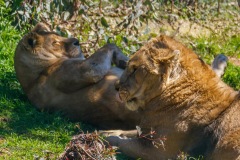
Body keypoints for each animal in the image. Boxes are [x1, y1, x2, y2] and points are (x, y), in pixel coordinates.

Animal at [13, 22, 141, 129]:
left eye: (58, 35)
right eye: (55, 42)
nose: (77, 41)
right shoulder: (83, 70)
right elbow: (110, 45)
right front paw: (126, 61)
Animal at [101, 35, 240, 160]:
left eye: (135, 69)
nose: (116, 87)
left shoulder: (157, 150)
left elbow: (122, 142)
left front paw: (104, 138)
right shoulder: (147, 131)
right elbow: (126, 132)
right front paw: (105, 132)